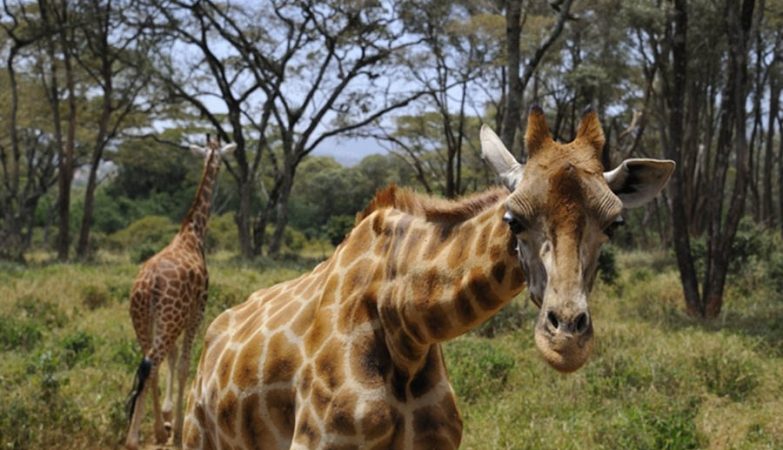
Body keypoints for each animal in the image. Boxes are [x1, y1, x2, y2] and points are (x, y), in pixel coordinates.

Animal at [124, 137, 236, 450]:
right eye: (222, 157)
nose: (221, 169)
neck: (193, 233)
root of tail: (149, 283)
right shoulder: (196, 313)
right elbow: (185, 364)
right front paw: (176, 430)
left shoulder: (176, 319)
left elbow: (174, 360)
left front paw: (165, 414)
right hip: (167, 320)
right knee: (151, 364)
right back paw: (141, 437)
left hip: (144, 320)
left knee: (148, 362)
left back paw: (153, 431)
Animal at [182, 107, 672, 448]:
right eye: (513, 219)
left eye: (615, 224)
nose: (566, 340)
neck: (405, 326)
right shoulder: (318, 441)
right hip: (196, 432)